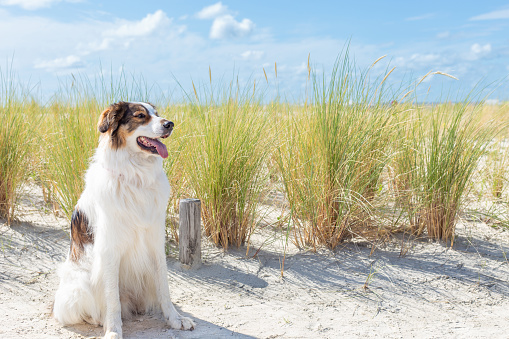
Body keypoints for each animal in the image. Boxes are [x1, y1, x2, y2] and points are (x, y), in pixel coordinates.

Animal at [53, 101, 195, 339]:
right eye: (140, 116)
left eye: (157, 114)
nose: (170, 124)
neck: (136, 176)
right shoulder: (109, 249)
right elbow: (112, 299)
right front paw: (113, 330)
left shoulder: (156, 243)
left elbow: (164, 289)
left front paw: (175, 319)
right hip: (79, 283)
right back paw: (98, 319)